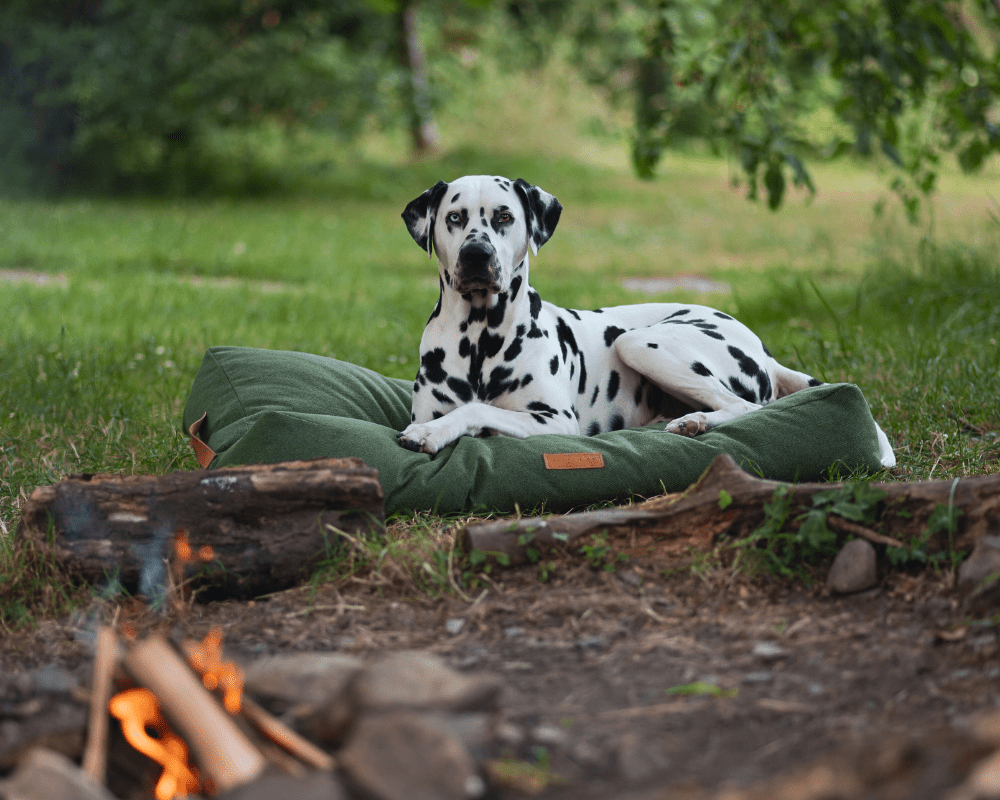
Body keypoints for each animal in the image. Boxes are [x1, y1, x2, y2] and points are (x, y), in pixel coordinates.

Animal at [394, 172, 896, 466]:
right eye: (454, 218)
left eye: (503, 217)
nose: (476, 256)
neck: (479, 337)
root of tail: (761, 349)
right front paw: (432, 429)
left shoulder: (555, 423)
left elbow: (477, 409)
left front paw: (430, 433)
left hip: (638, 342)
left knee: (744, 408)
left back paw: (694, 422)